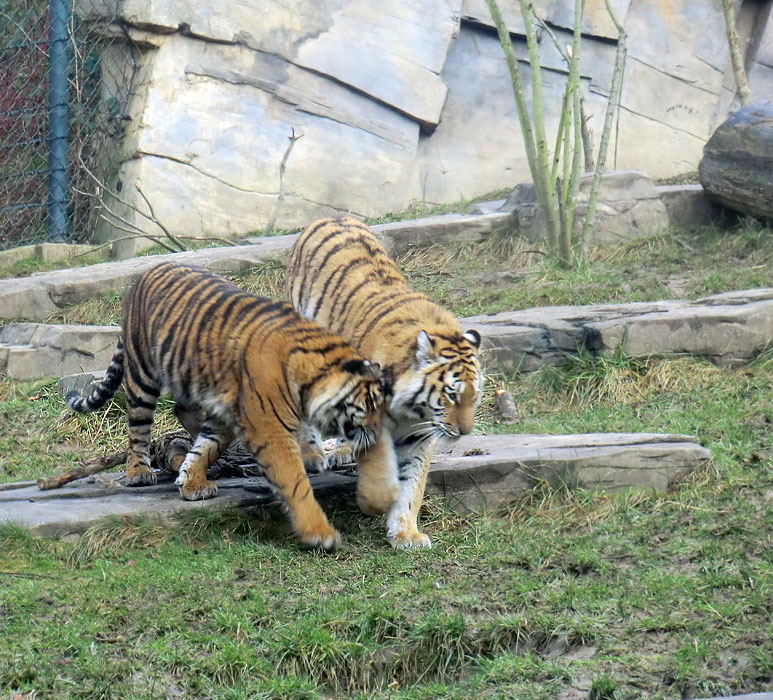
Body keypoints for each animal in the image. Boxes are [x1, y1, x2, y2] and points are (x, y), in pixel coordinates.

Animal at [67, 260, 390, 548]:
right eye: (368, 408)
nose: (377, 436)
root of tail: (143, 275)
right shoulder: (269, 431)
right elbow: (295, 483)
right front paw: (320, 534)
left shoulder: (229, 415)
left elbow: (206, 447)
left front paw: (192, 482)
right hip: (142, 375)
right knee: (138, 428)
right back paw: (139, 473)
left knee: (181, 410)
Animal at [286, 216, 482, 548]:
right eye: (452, 395)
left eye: (474, 396)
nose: (464, 432)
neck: (413, 410)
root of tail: (332, 217)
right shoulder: (371, 419)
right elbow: (380, 469)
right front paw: (375, 502)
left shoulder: (420, 433)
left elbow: (411, 483)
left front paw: (406, 532)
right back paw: (314, 454)